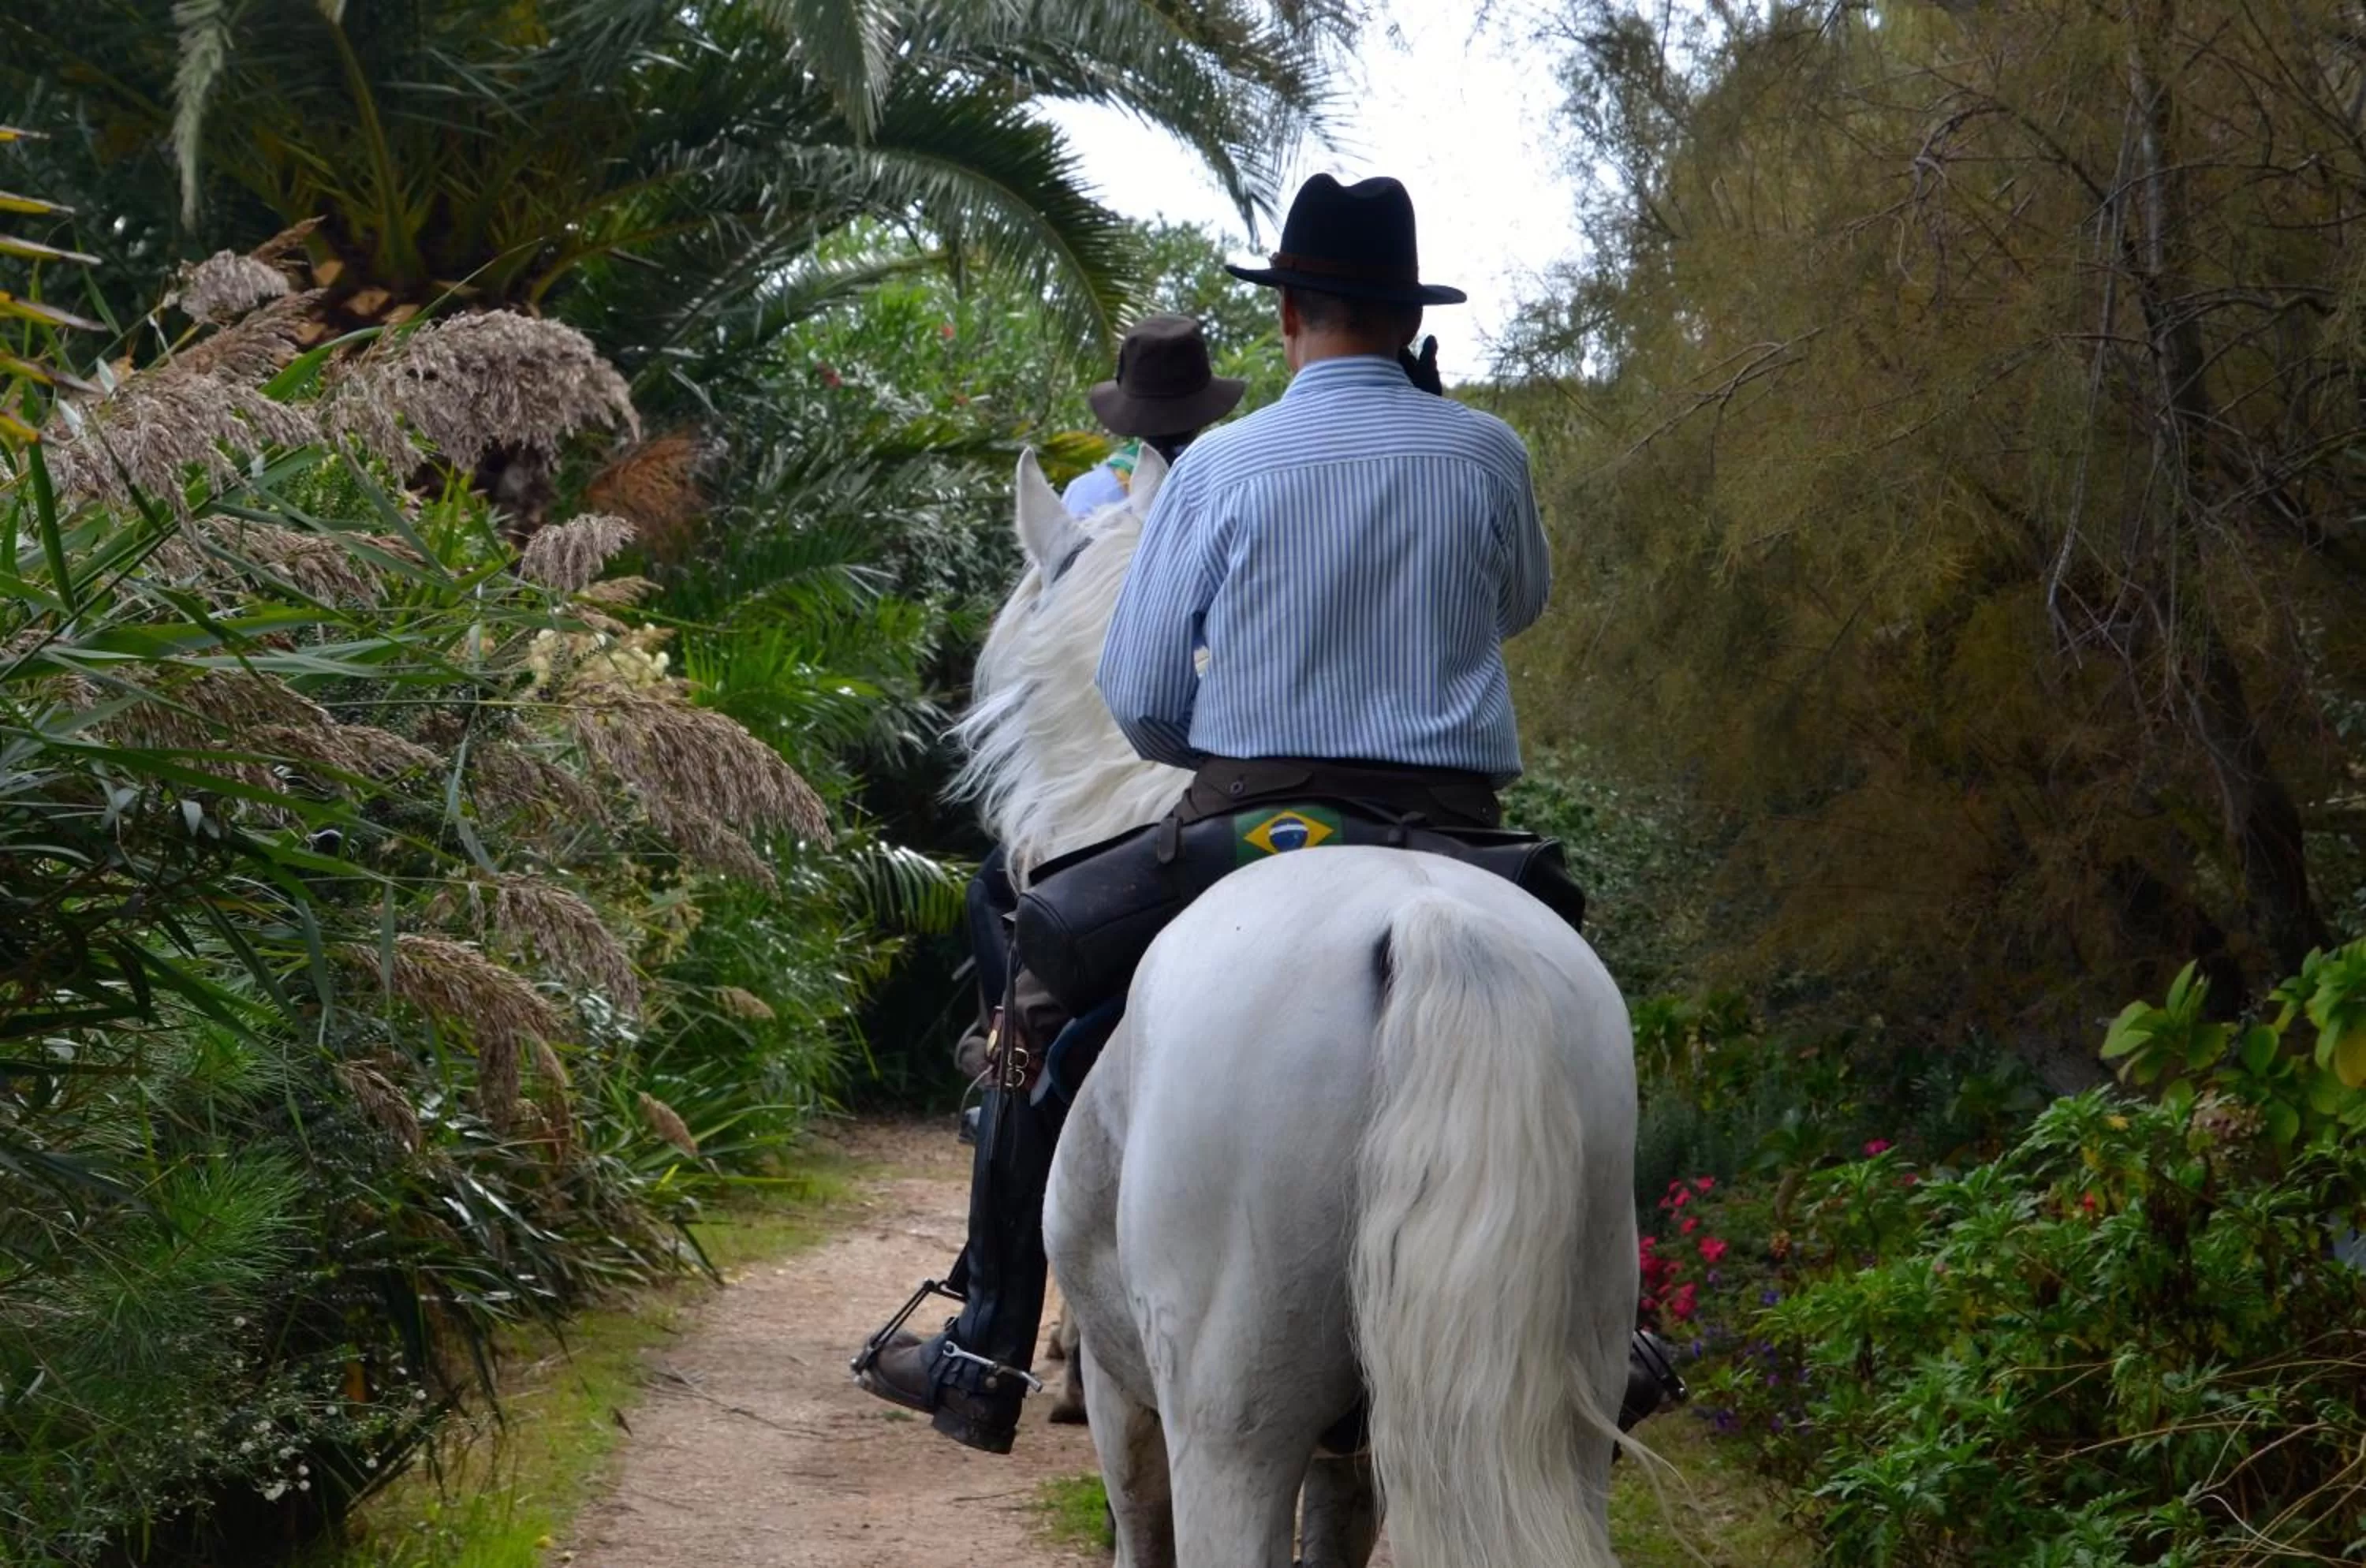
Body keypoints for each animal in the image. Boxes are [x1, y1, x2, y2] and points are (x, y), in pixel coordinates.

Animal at [959, 446, 1638, 1568]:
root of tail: (1426, 922)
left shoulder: (1126, 1392)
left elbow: (1136, 1525)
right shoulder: (1355, 1446)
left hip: (1233, 1424)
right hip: (1564, 1404)